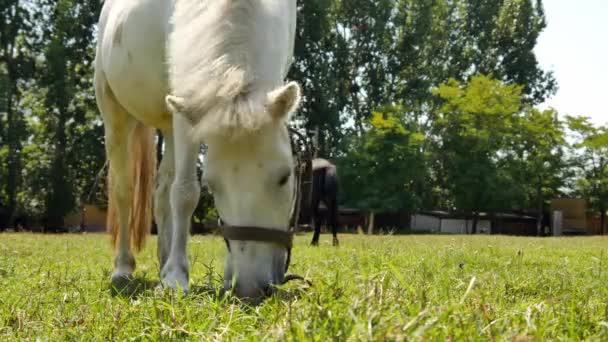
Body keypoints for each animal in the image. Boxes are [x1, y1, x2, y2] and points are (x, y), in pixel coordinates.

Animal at [95, 0, 302, 298]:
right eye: (211, 186)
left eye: (285, 177)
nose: (250, 287)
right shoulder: (188, 103)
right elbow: (184, 194)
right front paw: (176, 276)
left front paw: (172, 271)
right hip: (115, 114)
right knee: (125, 192)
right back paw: (123, 268)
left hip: (168, 123)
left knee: (161, 192)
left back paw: (162, 261)